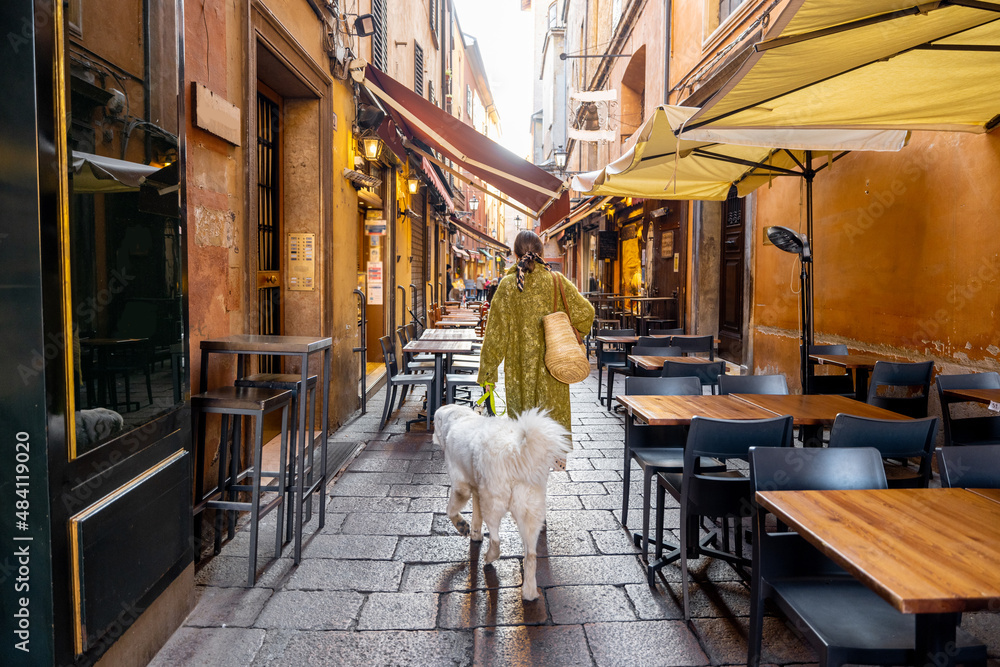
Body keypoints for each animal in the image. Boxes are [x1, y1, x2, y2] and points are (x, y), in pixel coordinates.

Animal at [432, 404, 572, 604]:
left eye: (434, 422)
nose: (432, 436)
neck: (458, 418)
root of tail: (514, 451)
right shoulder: (476, 491)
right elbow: (476, 518)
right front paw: (475, 534)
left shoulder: (461, 487)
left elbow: (450, 510)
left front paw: (462, 526)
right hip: (528, 512)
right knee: (531, 556)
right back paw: (529, 592)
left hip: (493, 502)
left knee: (497, 540)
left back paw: (490, 557)